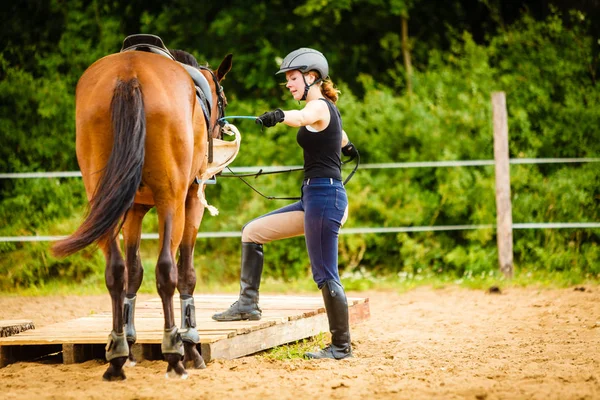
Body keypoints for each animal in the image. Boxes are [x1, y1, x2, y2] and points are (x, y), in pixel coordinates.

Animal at [52, 37, 233, 382]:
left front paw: (130, 340)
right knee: (166, 270)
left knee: (115, 271)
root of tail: (129, 74)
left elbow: (133, 273)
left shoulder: (133, 210)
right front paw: (190, 346)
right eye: (224, 101)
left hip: (105, 201)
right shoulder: (190, 202)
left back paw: (116, 355)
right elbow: (185, 272)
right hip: (171, 201)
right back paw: (175, 354)